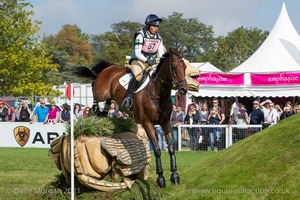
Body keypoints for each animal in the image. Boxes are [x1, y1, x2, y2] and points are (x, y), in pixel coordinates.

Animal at [75, 47, 188, 187]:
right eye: (173, 67)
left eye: (185, 67)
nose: (184, 89)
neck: (158, 94)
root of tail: (109, 68)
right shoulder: (147, 124)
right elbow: (157, 150)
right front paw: (161, 178)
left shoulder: (166, 123)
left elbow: (171, 148)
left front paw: (174, 176)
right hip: (100, 91)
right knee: (93, 86)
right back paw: (95, 109)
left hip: (110, 95)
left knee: (107, 100)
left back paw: (103, 112)